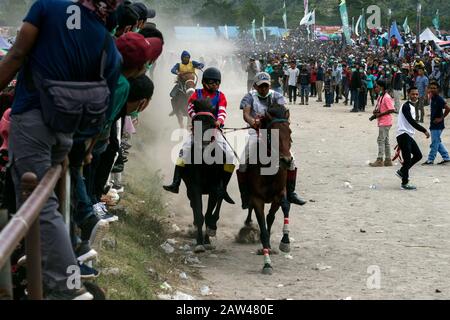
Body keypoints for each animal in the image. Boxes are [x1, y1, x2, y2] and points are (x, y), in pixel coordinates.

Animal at [246, 105, 292, 276]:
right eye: (273, 133)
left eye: (289, 132)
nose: (287, 160)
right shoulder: (257, 199)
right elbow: (264, 230)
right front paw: (267, 264)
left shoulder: (279, 195)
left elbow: (277, 213)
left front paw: (283, 243)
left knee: (277, 213)